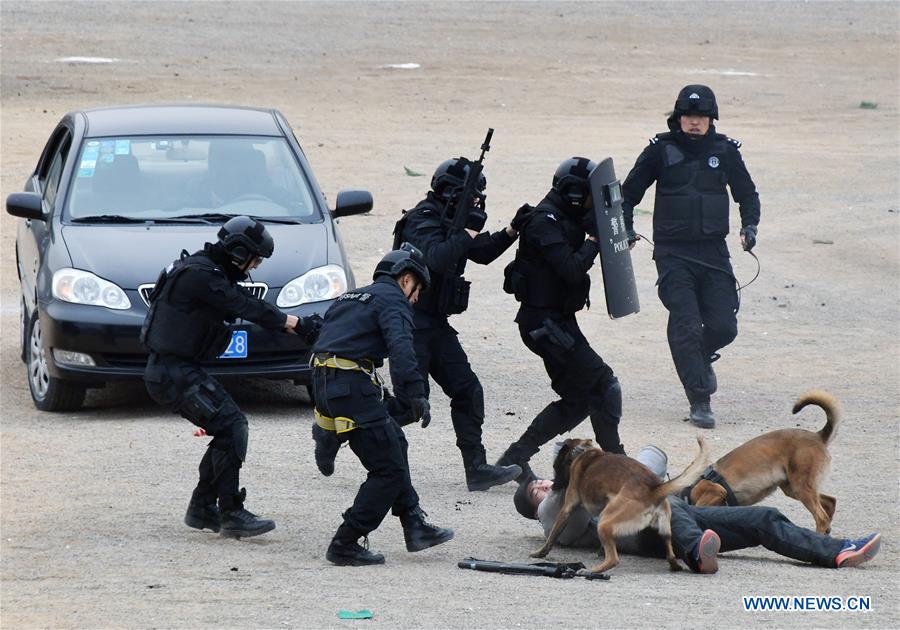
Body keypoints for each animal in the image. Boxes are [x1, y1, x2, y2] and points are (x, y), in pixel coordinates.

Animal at [528, 436, 712, 576]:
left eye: (555, 466)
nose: (553, 485)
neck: (582, 452)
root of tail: (654, 489)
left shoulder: (567, 508)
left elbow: (553, 535)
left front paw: (540, 553)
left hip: (605, 522)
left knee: (613, 559)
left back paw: (592, 570)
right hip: (664, 529)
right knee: (671, 555)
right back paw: (676, 566)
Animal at [688, 392, 844, 536]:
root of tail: (817, 436)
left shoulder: (715, 490)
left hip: (801, 487)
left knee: (822, 518)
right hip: (793, 488)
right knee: (830, 502)